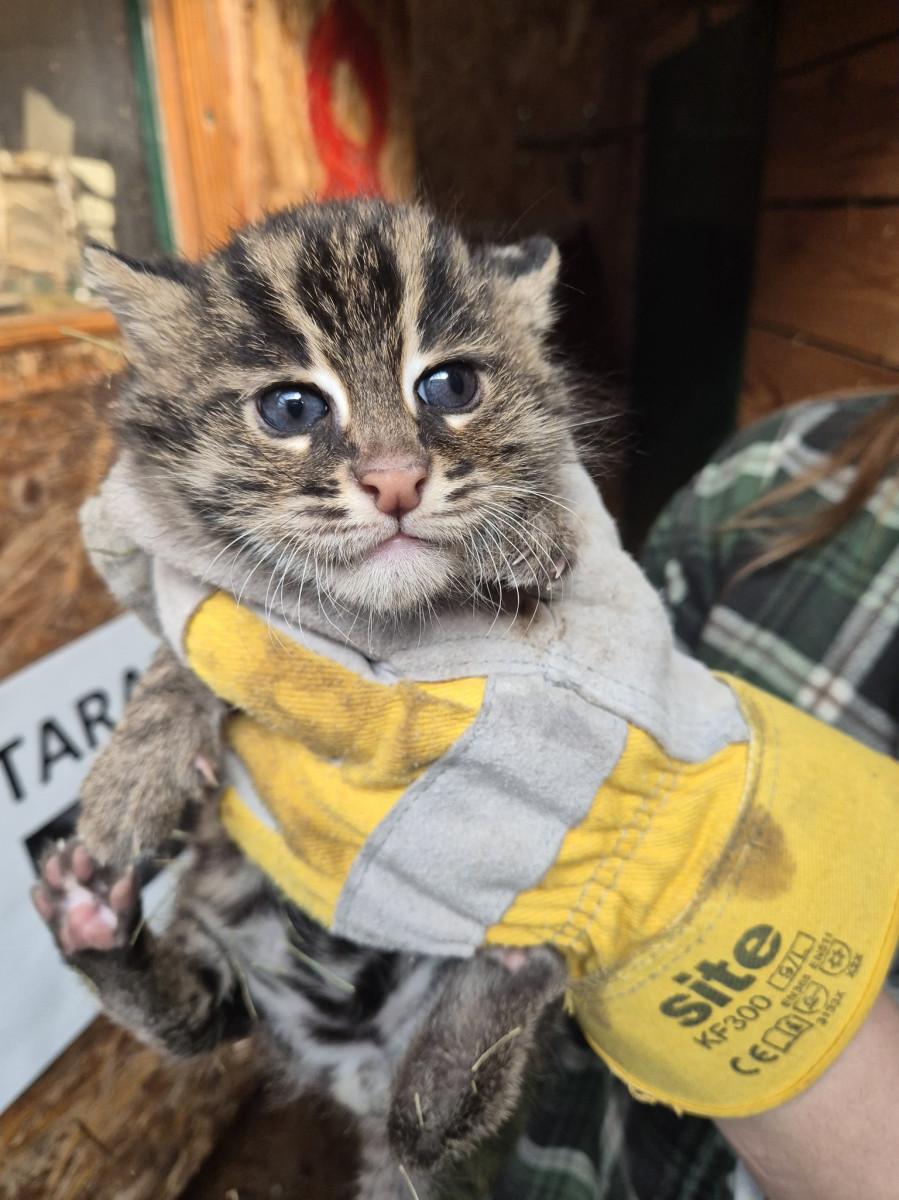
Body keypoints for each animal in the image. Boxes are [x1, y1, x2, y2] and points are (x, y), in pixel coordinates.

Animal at [33, 204, 583, 1200]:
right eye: (291, 409)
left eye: (451, 387)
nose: (396, 478)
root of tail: (358, 1066)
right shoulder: (197, 588)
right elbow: (181, 652)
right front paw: (131, 779)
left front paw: (533, 525)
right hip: (239, 956)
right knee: (203, 1018)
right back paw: (90, 921)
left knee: (423, 1130)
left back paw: (497, 996)